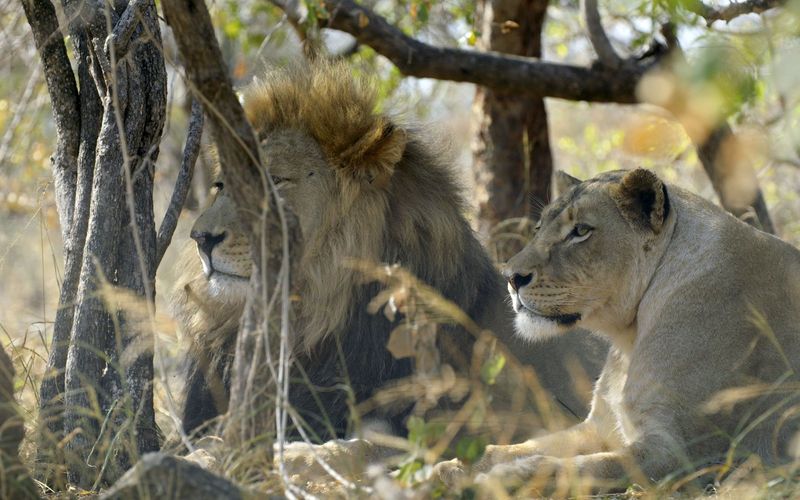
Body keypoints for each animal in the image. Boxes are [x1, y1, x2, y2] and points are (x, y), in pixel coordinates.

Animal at [438, 167, 800, 492]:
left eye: (581, 231)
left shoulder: (685, 455)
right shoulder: (598, 427)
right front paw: (455, 468)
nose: (511, 277)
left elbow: (585, 468)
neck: (630, 334)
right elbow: (518, 448)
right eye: (539, 228)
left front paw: (506, 478)